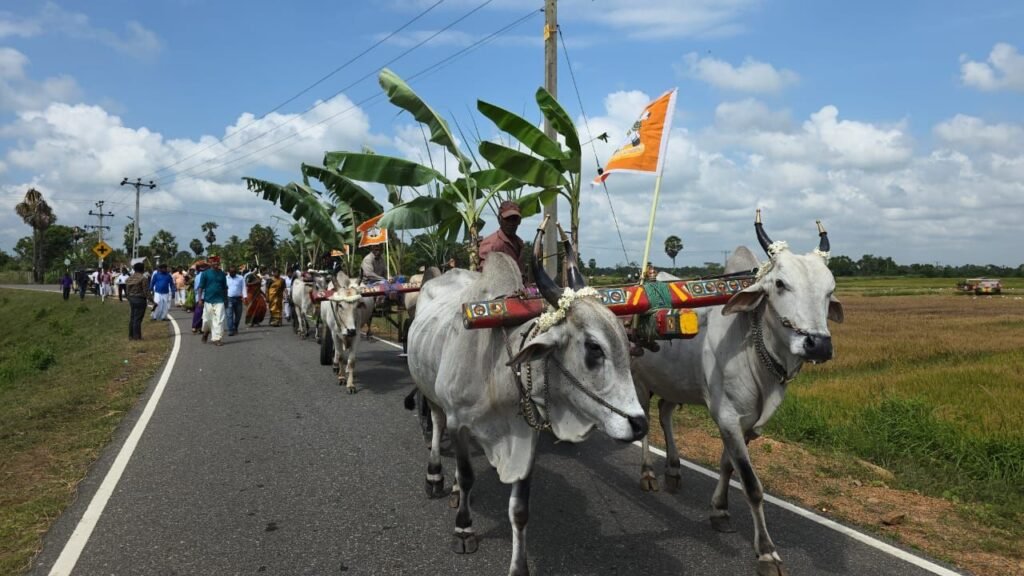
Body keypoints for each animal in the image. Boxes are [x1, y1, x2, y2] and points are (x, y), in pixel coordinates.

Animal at [407, 232, 648, 576]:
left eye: (627, 345)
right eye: (593, 348)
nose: (639, 424)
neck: (497, 369)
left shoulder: (526, 435)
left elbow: (520, 509)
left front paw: (519, 566)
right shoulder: (459, 423)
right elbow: (467, 476)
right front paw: (464, 529)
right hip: (433, 396)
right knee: (437, 428)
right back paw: (437, 477)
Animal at [631, 212, 844, 576]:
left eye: (830, 290)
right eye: (780, 284)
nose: (818, 345)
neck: (755, 348)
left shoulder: (747, 425)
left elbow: (728, 466)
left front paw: (719, 511)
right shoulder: (728, 416)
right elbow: (752, 484)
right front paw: (767, 553)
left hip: (674, 381)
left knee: (665, 414)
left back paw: (673, 468)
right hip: (639, 379)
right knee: (645, 419)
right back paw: (648, 473)